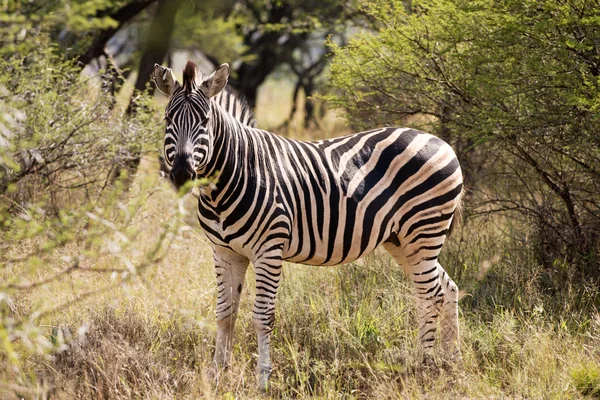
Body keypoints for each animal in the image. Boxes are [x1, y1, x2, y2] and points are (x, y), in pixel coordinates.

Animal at [151, 61, 464, 390]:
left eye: (205, 121)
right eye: (168, 119)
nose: (182, 174)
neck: (234, 175)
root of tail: (440, 141)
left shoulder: (268, 250)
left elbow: (262, 316)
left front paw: (263, 381)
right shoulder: (225, 252)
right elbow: (225, 313)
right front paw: (217, 375)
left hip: (423, 230)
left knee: (431, 294)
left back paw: (424, 367)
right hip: (402, 240)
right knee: (445, 288)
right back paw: (452, 361)